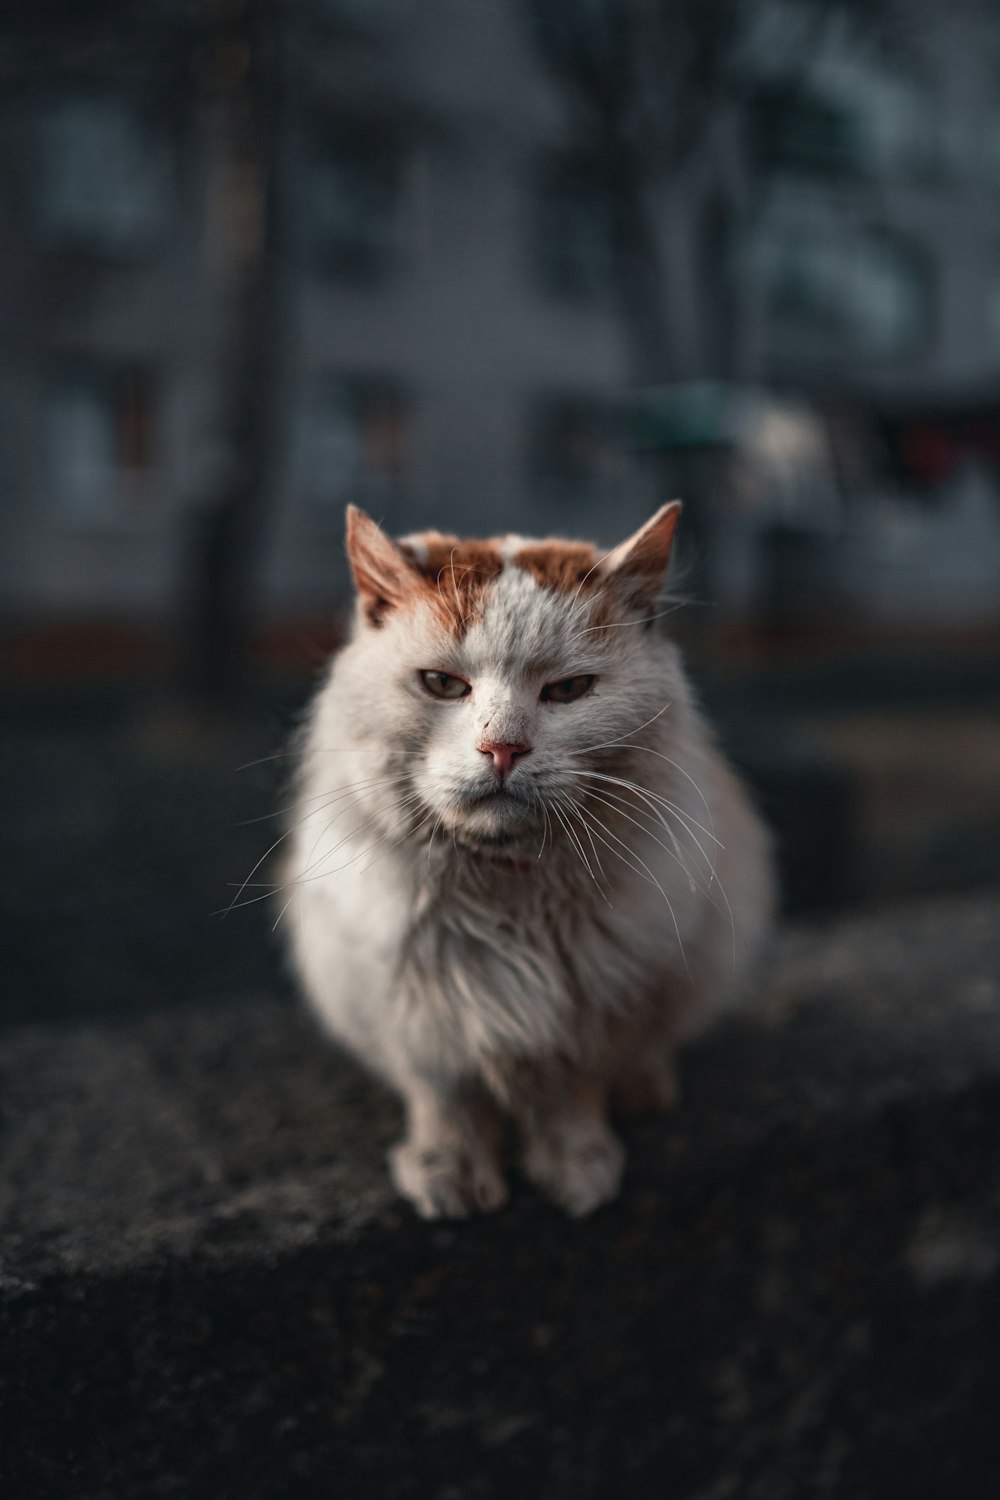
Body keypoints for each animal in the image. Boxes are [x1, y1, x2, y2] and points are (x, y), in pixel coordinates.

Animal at [280, 504, 773, 1218]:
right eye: (441, 684)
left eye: (568, 690)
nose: (502, 750)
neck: (508, 898)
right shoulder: (417, 1013)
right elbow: (446, 1102)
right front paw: (449, 1174)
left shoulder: (599, 1006)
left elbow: (572, 1096)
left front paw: (579, 1168)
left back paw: (646, 1090)